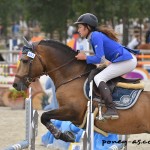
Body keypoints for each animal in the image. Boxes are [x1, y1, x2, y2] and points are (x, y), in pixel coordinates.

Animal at [13, 38, 150, 142]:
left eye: (24, 61)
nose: (15, 84)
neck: (71, 77)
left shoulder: (72, 111)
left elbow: (44, 116)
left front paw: (63, 135)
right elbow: (45, 117)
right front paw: (66, 135)